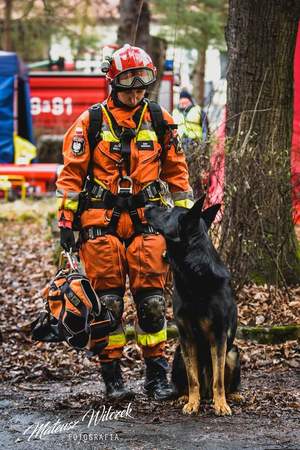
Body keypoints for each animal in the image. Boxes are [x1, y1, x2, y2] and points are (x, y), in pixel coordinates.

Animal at [144, 199, 240, 416]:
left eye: (168, 210)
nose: (146, 206)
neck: (194, 272)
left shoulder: (219, 336)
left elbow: (219, 381)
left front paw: (221, 404)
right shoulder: (186, 337)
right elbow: (192, 378)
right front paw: (192, 403)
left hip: (232, 353)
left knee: (222, 383)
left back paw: (232, 396)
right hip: (179, 354)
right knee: (189, 383)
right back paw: (186, 397)